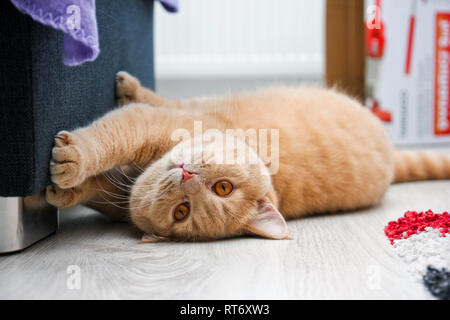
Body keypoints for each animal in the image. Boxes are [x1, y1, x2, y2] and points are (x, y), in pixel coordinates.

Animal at [45, 72, 450, 241]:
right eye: (225, 188)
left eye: (182, 212)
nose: (187, 177)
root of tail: (392, 157)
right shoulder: (161, 123)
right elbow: (114, 139)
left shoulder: (142, 134)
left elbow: (106, 151)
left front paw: (68, 174)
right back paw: (130, 85)